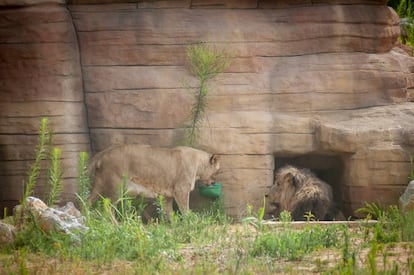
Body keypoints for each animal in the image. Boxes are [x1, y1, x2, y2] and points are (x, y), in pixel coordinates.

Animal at [87, 146, 220, 221]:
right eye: (217, 171)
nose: (214, 182)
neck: (198, 166)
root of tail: (103, 154)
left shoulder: (167, 196)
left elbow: (170, 213)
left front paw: (174, 226)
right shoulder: (181, 190)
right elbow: (185, 210)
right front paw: (190, 223)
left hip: (99, 185)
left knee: (87, 202)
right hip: (117, 188)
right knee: (107, 207)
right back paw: (116, 226)